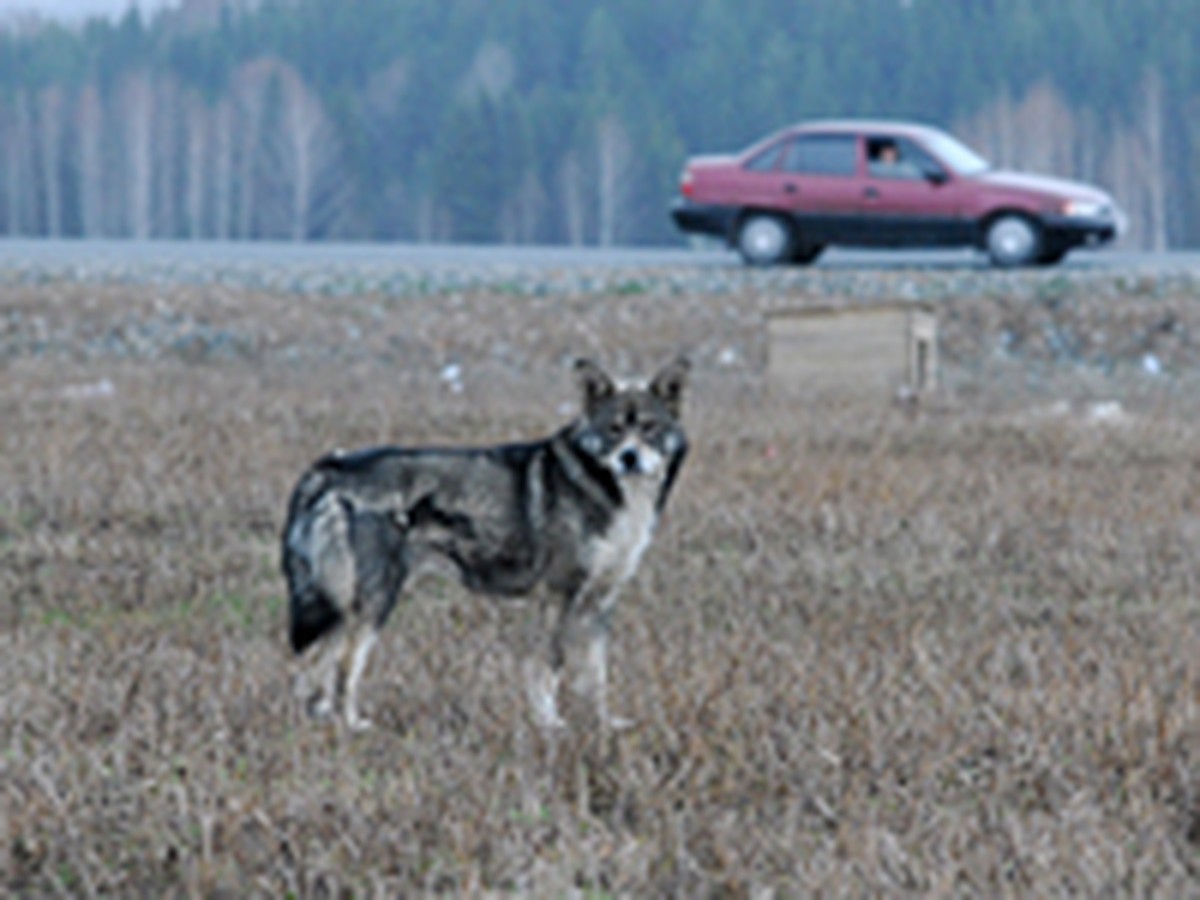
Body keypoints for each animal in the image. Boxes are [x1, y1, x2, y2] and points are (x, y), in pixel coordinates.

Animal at [282, 355, 691, 729]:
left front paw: (603, 724)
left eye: (650, 428)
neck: (609, 490)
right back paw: (351, 725)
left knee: (315, 668)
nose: (629, 457)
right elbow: (549, 666)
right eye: (614, 429)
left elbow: (596, 677)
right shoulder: (559, 595)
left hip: (343, 601)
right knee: (342, 665)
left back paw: (318, 723)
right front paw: (550, 724)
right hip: (372, 601)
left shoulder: (599, 603)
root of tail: (327, 468)